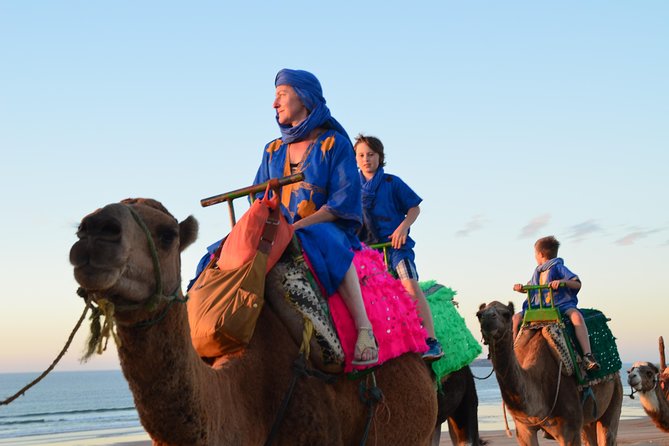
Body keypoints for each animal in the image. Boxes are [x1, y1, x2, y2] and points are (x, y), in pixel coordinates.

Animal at [474, 302, 620, 444]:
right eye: (479, 314)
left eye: (506, 314)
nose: (487, 319)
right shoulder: (524, 429)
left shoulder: (570, 429)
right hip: (587, 420)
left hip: (614, 394)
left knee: (608, 433)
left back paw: (591, 362)